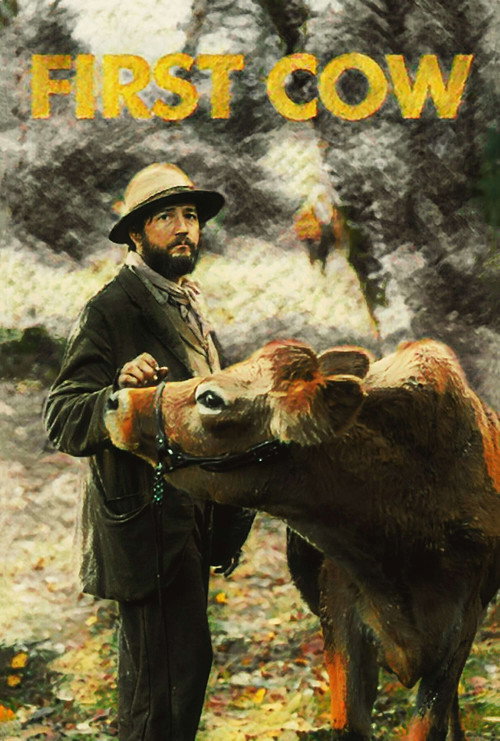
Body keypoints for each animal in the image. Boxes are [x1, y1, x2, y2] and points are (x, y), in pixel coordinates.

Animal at [104, 338, 499, 741]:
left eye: (211, 398)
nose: (117, 399)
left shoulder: (462, 624)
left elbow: (429, 722)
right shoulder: (340, 613)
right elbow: (350, 725)